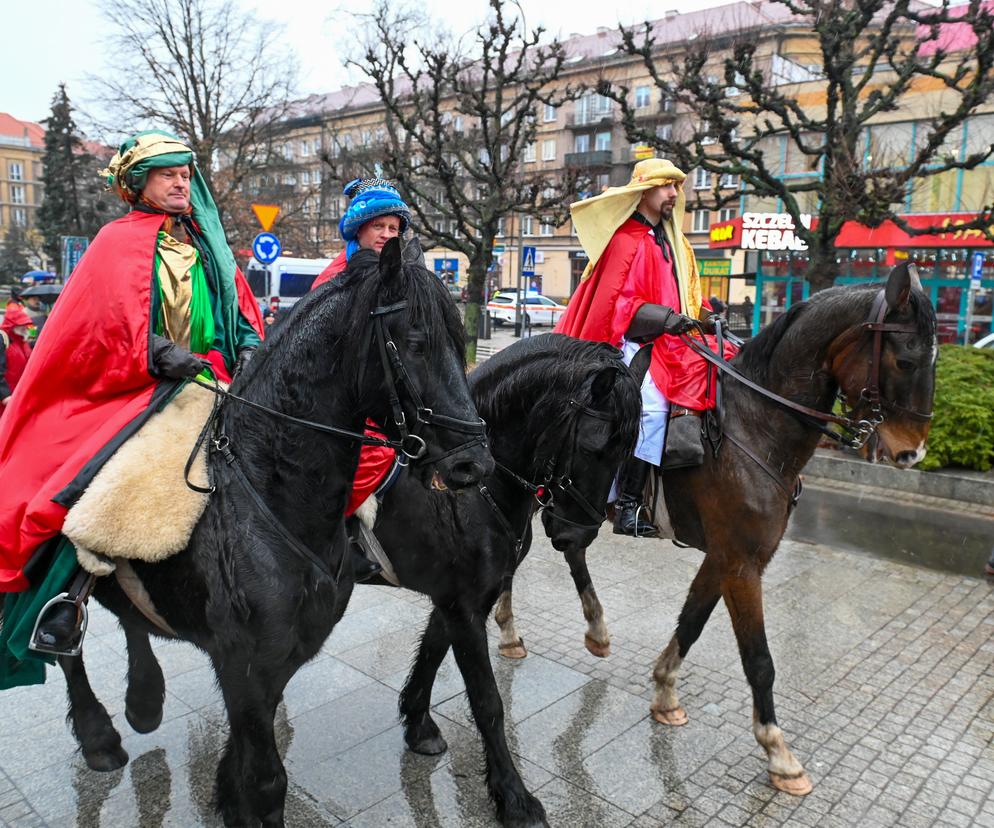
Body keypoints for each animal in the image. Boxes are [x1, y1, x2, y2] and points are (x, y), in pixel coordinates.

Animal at [50, 236, 492, 824]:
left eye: (458, 339)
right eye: (416, 342)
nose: (474, 464)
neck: (271, 494)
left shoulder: (282, 655)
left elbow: (247, 757)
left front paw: (224, 793)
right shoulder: (243, 661)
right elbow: (265, 779)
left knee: (127, 615)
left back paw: (143, 699)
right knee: (65, 642)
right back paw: (98, 733)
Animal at [368, 334, 640, 828]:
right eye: (596, 446)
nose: (577, 535)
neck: (470, 490)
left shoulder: (461, 596)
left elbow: (432, 652)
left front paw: (418, 724)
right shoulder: (463, 604)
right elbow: (487, 701)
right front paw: (514, 797)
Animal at [484, 264, 932, 796]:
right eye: (906, 360)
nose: (912, 452)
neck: (757, 424)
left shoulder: (726, 557)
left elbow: (692, 622)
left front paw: (664, 692)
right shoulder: (741, 564)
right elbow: (759, 660)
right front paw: (778, 752)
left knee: (551, 549)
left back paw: (570, 629)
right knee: (530, 550)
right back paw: (528, 629)